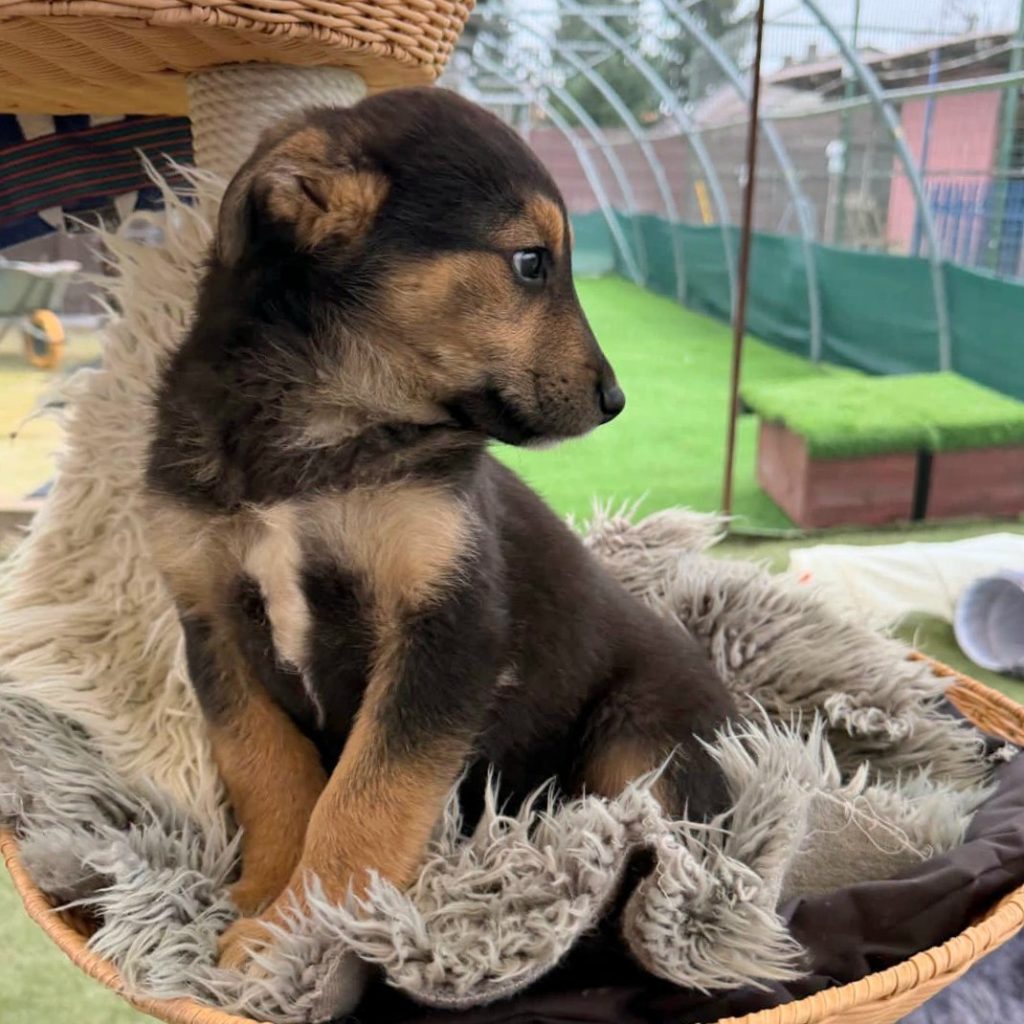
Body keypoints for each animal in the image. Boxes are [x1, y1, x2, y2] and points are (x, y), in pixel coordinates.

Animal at [143, 87, 736, 969]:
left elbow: (362, 800)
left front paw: (299, 935)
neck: (319, 435)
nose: (616, 400)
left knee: (657, 855)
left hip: (644, 742)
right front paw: (259, 897)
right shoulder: (212, 625)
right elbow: (269, 772)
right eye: (530, 262)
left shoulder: (448, 630)